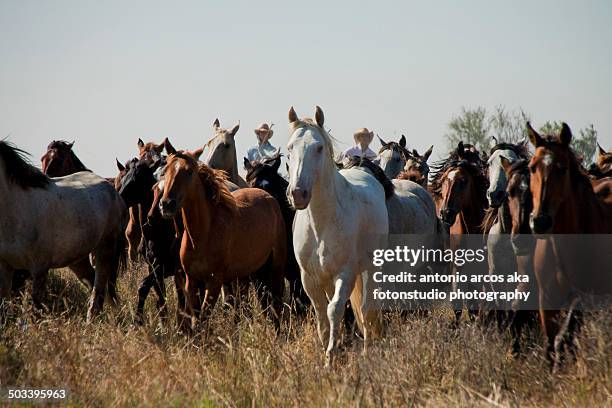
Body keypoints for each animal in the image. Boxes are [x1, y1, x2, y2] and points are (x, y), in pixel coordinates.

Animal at [0, 142, 126, 320]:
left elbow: (36, 307)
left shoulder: (39, 269)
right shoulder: (5, 267)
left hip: (105, 249)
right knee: (94, 282)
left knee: (99, 287)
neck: (17, 206)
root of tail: (114, 191)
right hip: (78, 259)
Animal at [160, 155, 290, 330]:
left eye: (188, 171)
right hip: (247, 274)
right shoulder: (191, 280)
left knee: (275, 304)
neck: (203, 234)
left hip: (275, 268)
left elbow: (203, 319)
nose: (166, 204)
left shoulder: (215, 281)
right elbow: (195, 318)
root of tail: (269, 198)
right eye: (165, 171)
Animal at [288, 107, 388, 364]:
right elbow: (322, 314)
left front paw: (331, 357)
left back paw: (367, 351)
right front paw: (329, 348)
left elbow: (335, 310)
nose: (298, 194)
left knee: (367, 308)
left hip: (370, 267)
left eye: (319, 147)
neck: (321, 224)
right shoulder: (309, 278)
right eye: (290, 147)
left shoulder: (346, 273)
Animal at [524, 122, 612, 370]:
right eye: (531, 167)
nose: (540, 221)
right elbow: (550, 342)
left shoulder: (584, 298)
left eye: (562, 169)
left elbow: (563, 340)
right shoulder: (547, 300)